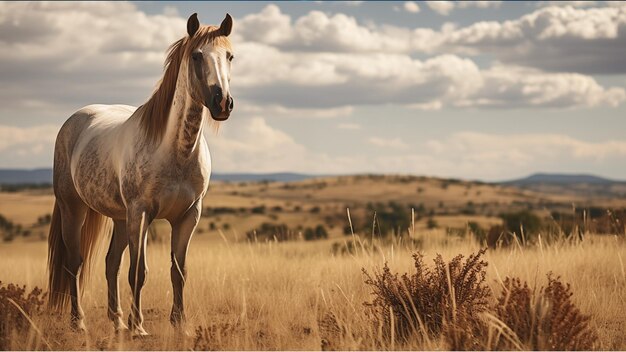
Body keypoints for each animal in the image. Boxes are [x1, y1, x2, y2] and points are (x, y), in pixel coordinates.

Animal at [45, 12, 233, 334]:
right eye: (196, 56)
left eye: (230, 56)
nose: (222, 103)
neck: (175, 152)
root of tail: (76, 119)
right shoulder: (142, 213)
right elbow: (139, 271)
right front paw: (139, 327)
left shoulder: (188, 216)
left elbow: (178, 271)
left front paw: (179, 325)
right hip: (75, 209)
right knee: (74, 262)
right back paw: (79, 322)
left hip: (121, 219)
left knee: (111, 263)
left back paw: (117, 322)